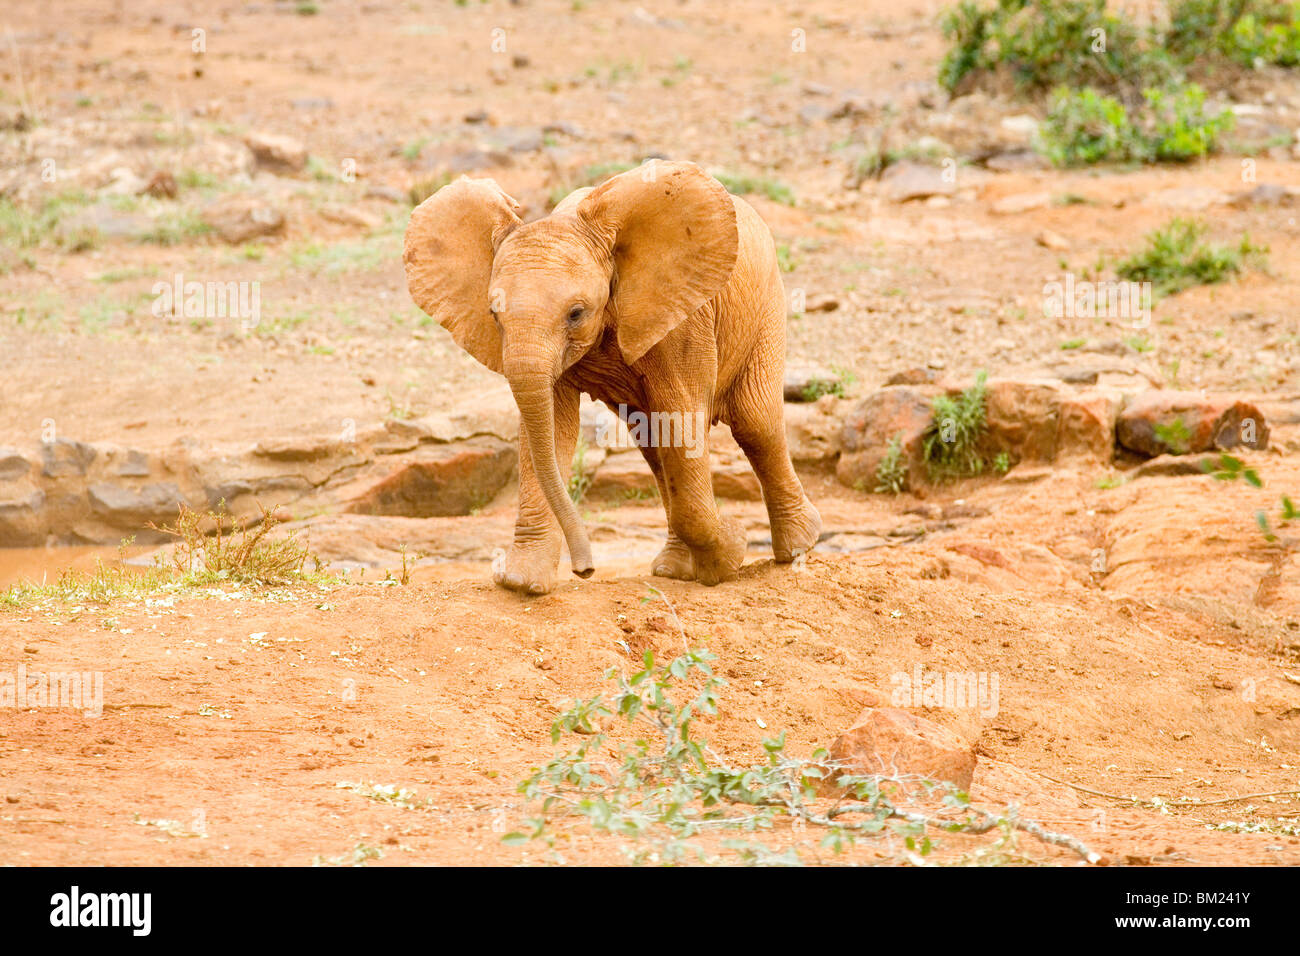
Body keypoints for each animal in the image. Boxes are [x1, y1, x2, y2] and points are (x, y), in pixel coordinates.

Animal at [400, 158, 816, 590]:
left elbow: (681, 416)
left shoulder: (682, 319)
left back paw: (797, 548)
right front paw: (520, 583)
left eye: (576, 313)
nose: (585, 570)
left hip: (767, 304)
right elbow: (552, 427)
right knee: (654, 447)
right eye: (494, 316)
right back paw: (673, 571)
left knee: (755, 423)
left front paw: (729, 557)